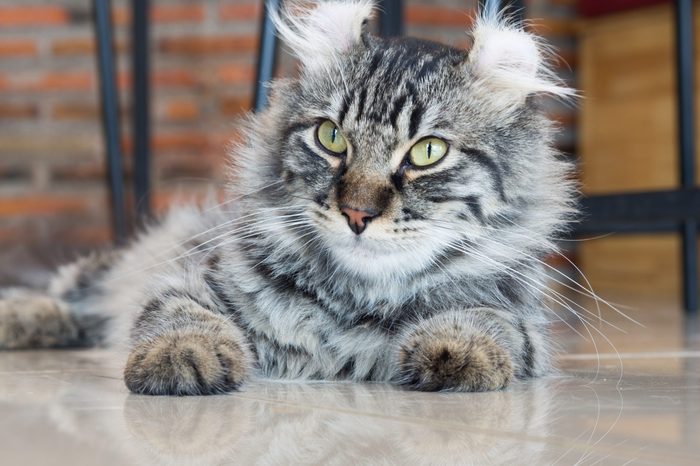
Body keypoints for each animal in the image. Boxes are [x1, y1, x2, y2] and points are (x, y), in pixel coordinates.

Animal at [0, 0, 576, 396]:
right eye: (331, 137)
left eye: (428, 152)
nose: (357, 214)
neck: (353, 303)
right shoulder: (189, 279)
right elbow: (178, 316)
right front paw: (182, 359)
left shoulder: (525, 326)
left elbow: (485, 322)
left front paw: (455, 353)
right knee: (73, 292)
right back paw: (23, 317)